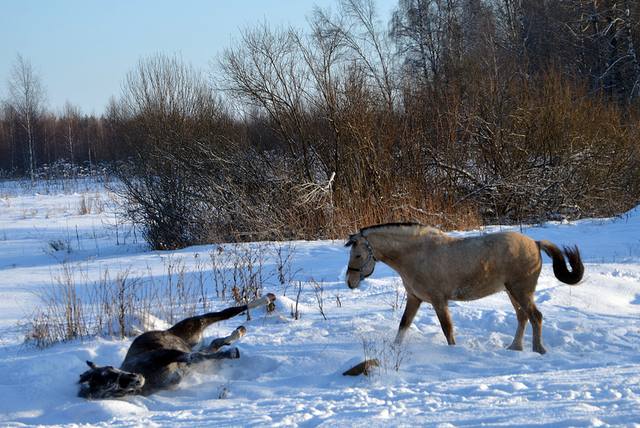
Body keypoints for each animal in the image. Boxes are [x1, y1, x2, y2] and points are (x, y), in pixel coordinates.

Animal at [77, 294, 276, 398]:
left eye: (111, 369)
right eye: (110, 386)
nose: (135, 377)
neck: (147, 373)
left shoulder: (169, 354)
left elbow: (196, 356)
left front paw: (232, 353)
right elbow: (199, 357)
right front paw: (232, 352)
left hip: (194, 324)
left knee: (230, 311)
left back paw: (266, 299)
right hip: (194, 337)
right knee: (215, 343)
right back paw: (238, 332)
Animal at [348, 224, 584, 354]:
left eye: (358, 255)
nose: (350, 281)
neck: (417, 254)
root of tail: (535, 243)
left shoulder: (438, 301)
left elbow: (447, 330)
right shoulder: (415, 298)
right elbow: (403, 325)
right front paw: (394, 349)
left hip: (521, 291)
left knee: (536, 317)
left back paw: (538, 350)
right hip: (512, 292)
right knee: (523, 317)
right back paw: (515, 348)